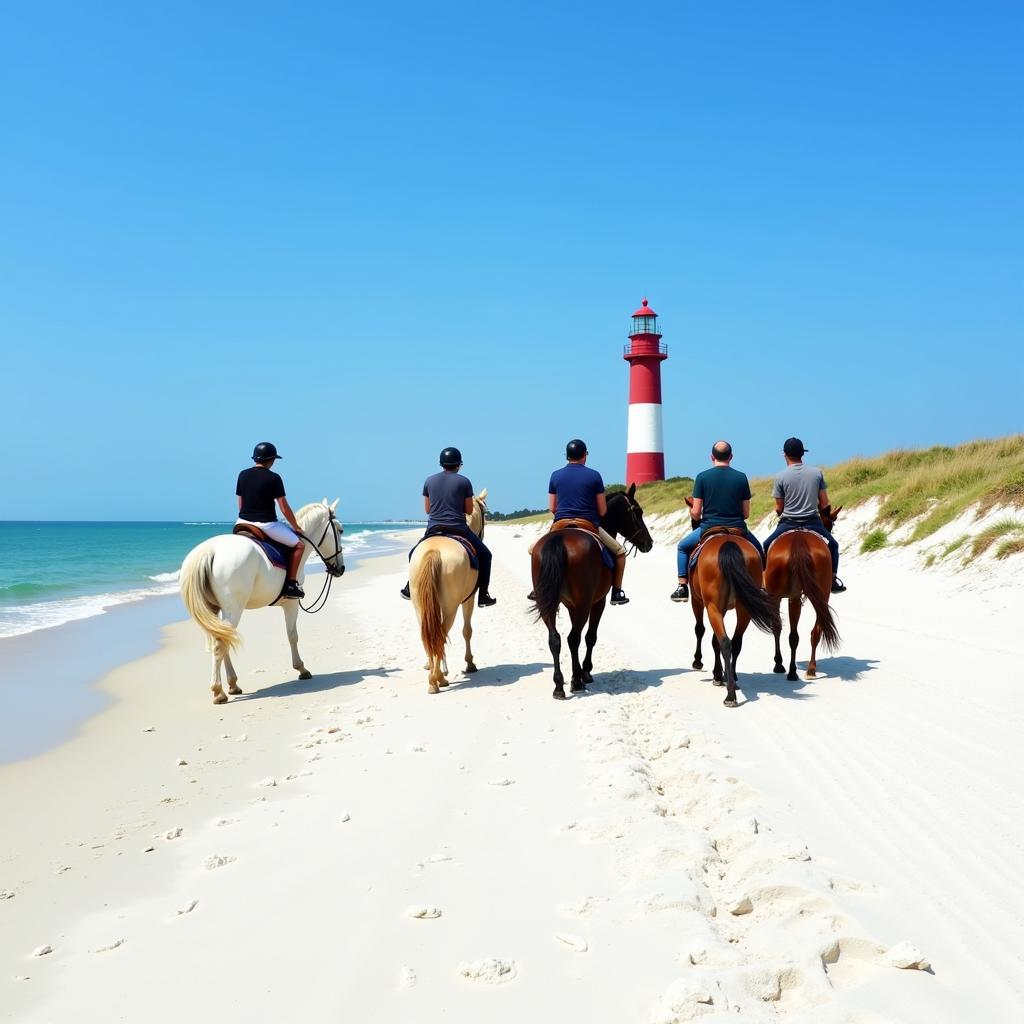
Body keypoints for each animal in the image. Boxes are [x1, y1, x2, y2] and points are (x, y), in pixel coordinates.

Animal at [180, 497, 344, 704]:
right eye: (340, 530)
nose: (341, 569)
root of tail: (209, 550)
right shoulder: (291, 603)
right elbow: (293, 636)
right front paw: (301, 669)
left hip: (216, 610)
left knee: (224, 641)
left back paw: (233, 684)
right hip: (234, 609)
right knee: (220, 645)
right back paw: (218, 691)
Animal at [407, 487, 487, 696]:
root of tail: (434, 552)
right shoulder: (469, 599)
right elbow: (467, 631)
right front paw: (469, 663)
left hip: (419, 605)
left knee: (428, 634)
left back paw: (434, 674)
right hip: (451, 607)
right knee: (440, 635)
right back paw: (437, 680)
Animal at [532, 483, 651, 700]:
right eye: (638, 512)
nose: (649, 543)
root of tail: (560, 539)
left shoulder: (572, 605)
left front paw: (578, 671)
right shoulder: (598, 602)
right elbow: (590, 637)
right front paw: (585, 671)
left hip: (549, 604)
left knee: (556, 639)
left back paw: (559, 685)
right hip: (585, 604)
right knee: (573, 638)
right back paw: (576, 682)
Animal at [765, 503, 843, 679]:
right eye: (830, 525)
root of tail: (798, 540)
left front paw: (778, 663)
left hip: (779, 595)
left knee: (781, 628)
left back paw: (786, 668)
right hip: (822, 595)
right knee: (814, 632)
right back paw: (809, 669)